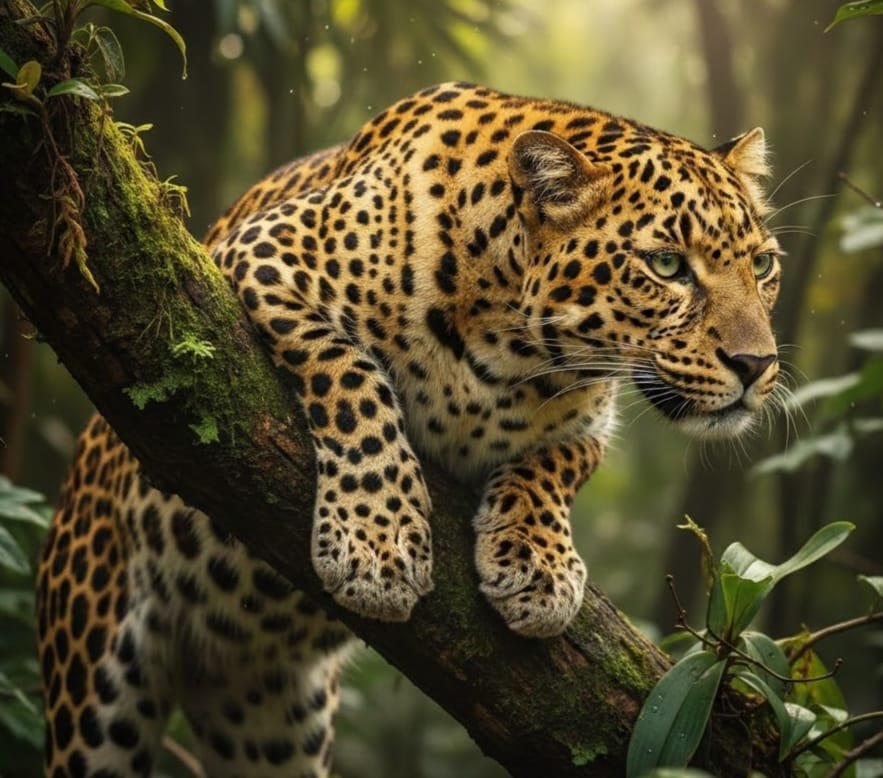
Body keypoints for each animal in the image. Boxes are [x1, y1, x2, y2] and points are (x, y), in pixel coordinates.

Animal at [37, 82, 782, 778]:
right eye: (667, 265)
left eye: (763, 265)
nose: (757, 365)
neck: (517, 357)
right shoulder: (258, 253)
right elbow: (352, 378)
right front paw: (376, 543)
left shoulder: (588, 422)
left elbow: (556, 464)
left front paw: (538, 565)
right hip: (96, 674)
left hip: (273, 727)